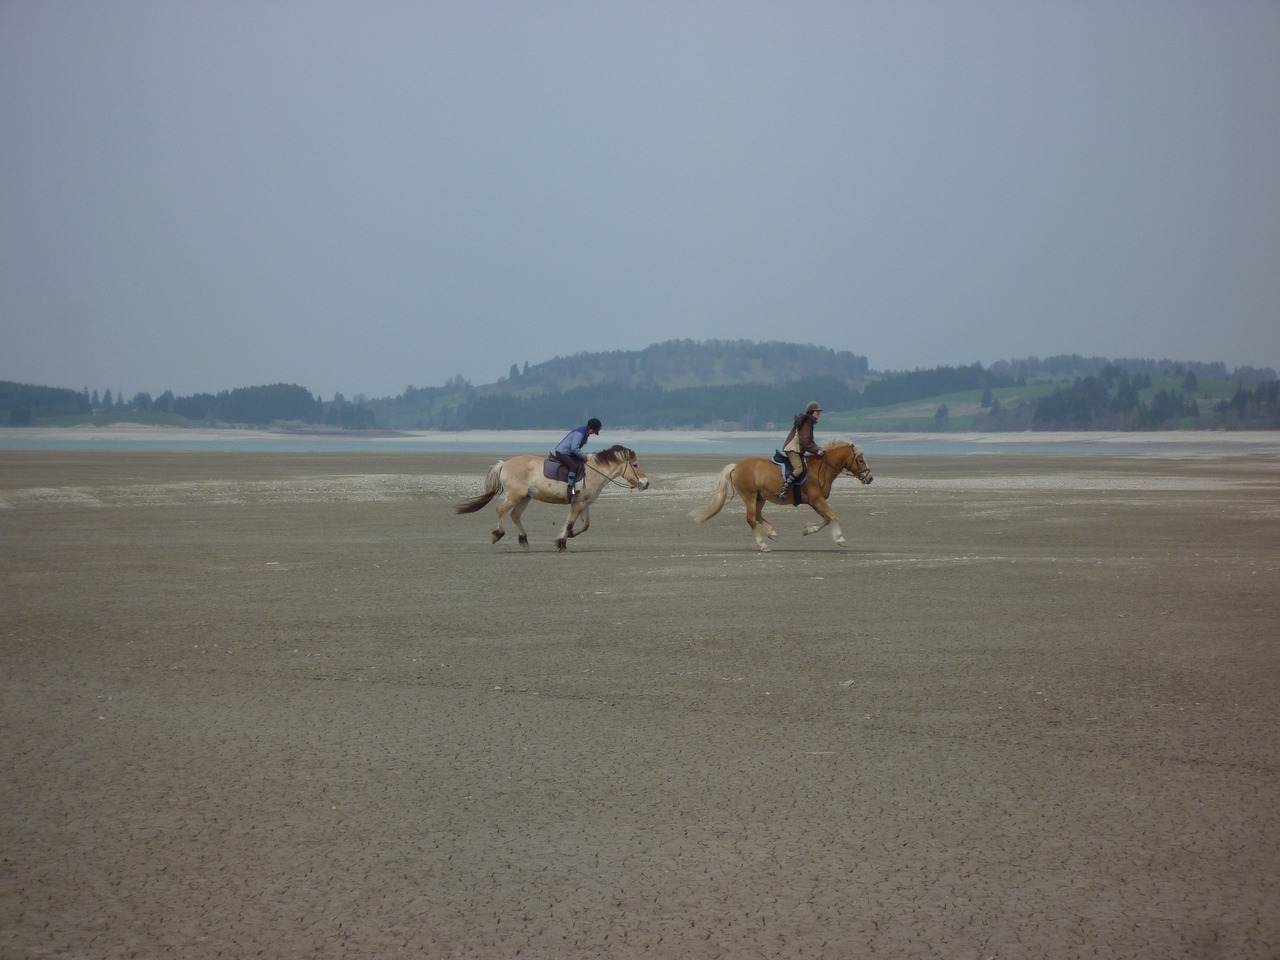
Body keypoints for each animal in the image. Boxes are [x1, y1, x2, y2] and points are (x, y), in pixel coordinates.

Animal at [455, 445, 650, 552]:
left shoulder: (585, 504)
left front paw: (566, 536)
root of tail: (504, 464)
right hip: (515, 496)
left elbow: (585, 525)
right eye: (635, 465)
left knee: (515, 516)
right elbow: (570, 523)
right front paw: (561, 542)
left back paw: (523, 540)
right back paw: (498, 534)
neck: (594, 471)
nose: (646, 483)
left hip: (525, 498)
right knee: (500, 510)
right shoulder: (578, 504)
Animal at [691, 440, 870, 552]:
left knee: (757, 515)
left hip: (760, 497)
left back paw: (772, 532)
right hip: (750, 496)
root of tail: (737, 466)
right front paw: (840, 538)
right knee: (751, 518)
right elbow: (833, 516)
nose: (870, 478)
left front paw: (808, 530)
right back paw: (763, 545)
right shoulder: (817, 500)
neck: (821, 469)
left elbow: (827, 519)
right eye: (860, 460)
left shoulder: (814, 502)